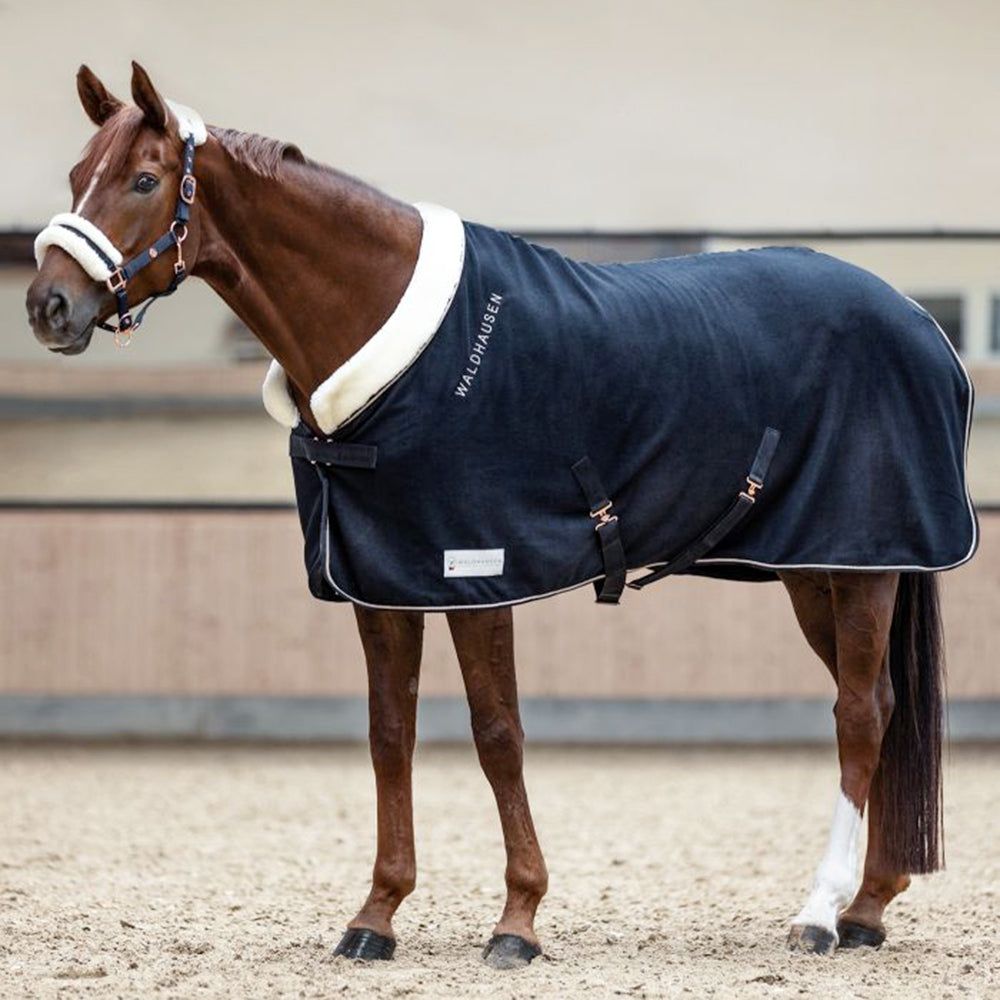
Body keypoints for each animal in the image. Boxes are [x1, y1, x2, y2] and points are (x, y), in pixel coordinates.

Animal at [26, 62, 975, 968]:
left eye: (145, 179)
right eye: (76, 174)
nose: (48, 307)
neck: (405, 349)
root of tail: (917, 320)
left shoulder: (476, 571)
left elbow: (497, 736)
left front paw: (517, 920)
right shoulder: (385, 581)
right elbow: (389, 735)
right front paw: (376, 917)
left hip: (860, 562)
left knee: (858, 714)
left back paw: (819, 913)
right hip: (818, 571)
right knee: (881, 703)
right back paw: (867, 909)